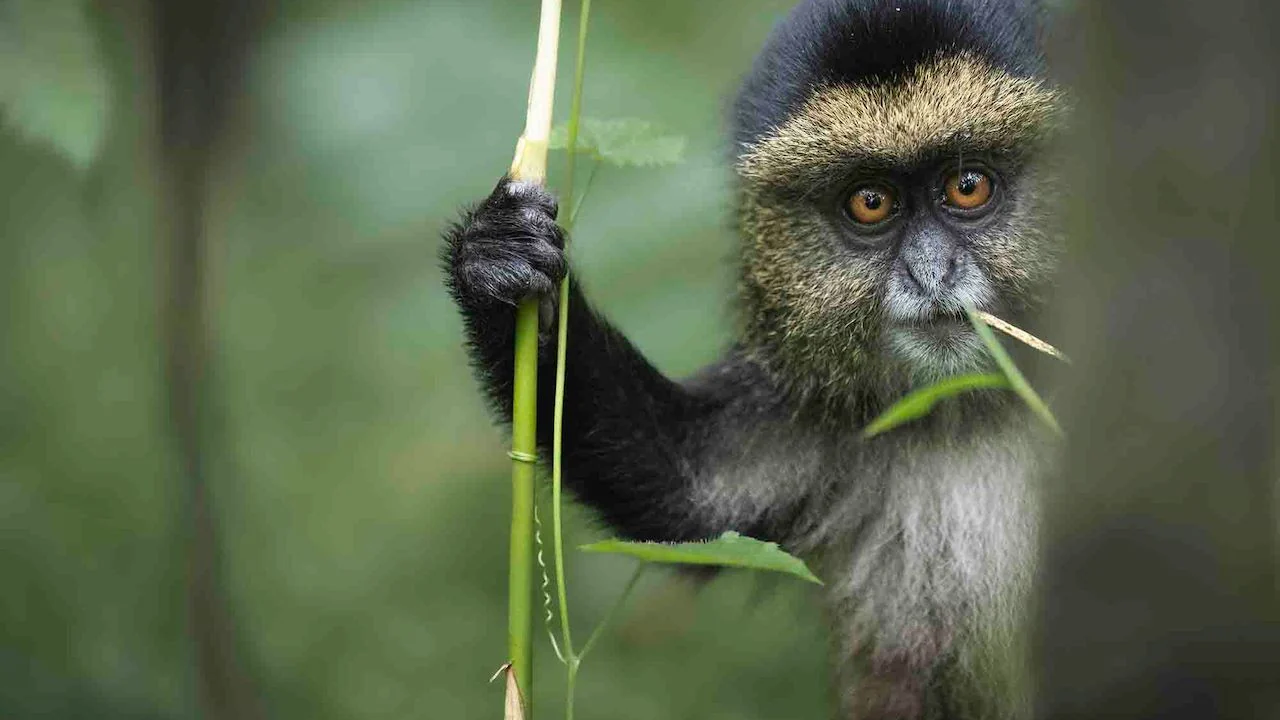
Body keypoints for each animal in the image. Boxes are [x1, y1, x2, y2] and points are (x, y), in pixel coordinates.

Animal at [444, 0, 1064, 717]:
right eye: (870, 203)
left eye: (968, 187)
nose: (930, 272)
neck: (972, 407)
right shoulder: (813, 408)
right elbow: (686, 497)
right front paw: (496, 262)